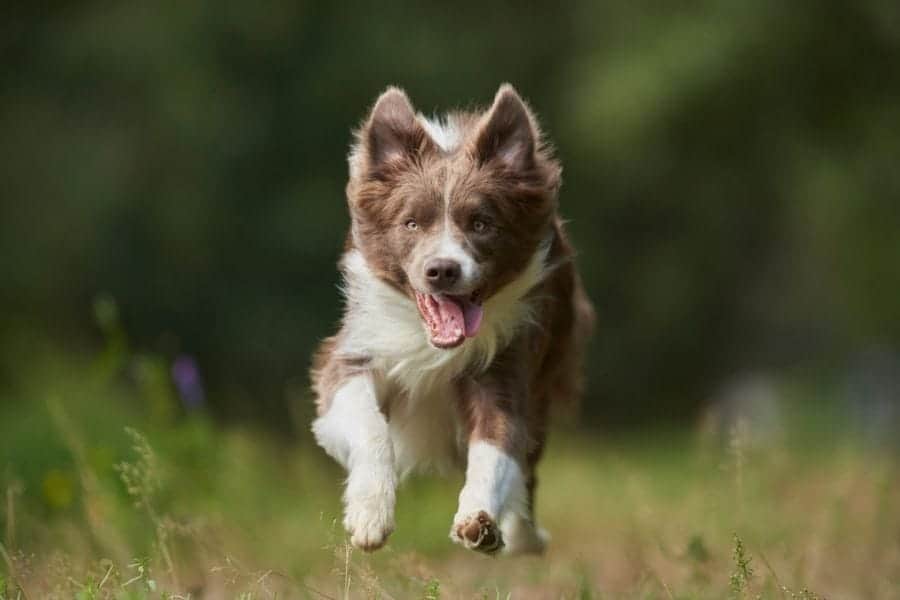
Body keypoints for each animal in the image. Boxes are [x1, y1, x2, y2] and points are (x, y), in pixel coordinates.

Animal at [312, 83, 596, 552]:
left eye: (481, 223)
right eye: (411, 223)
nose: (442, 270)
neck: (432, 343)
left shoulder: (507, 366)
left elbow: (496, 447)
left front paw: (479, 520)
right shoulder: (352, 354)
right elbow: (371, 426)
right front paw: (370, 515)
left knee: (528, 465)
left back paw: (523, 536)